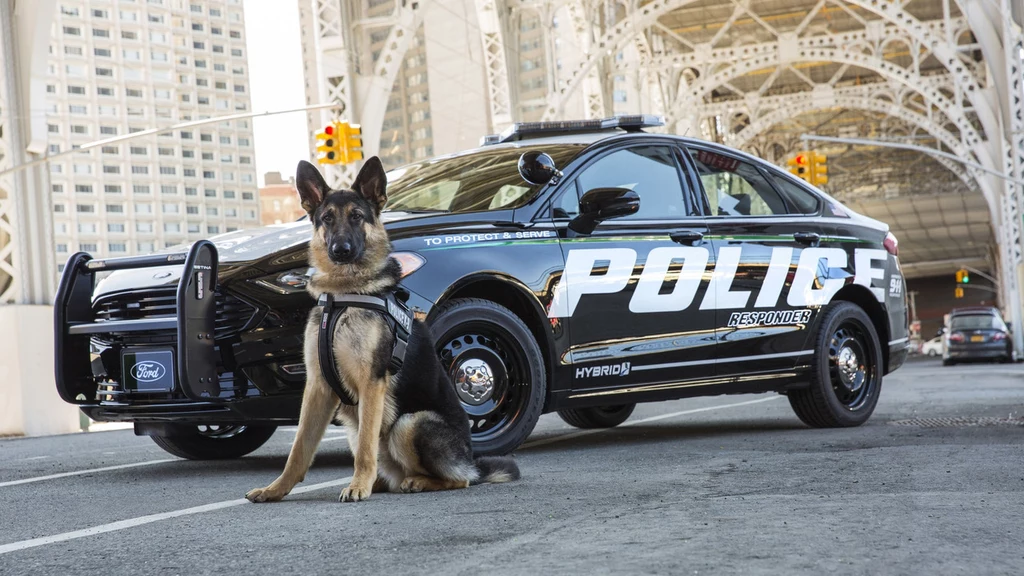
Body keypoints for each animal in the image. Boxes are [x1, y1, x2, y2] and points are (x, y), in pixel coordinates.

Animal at [245, 157, 520, 502]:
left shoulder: (371, 383)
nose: (341, 250)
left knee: (457, 479)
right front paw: (276, 489)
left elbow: (366, 447)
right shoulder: (317, 387)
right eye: (327, 219)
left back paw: (412, 481)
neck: (344, 295)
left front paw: (357, 486)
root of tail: (471, 462)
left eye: (357, 216)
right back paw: (380, 483)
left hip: (409, 423)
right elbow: (299, 449)